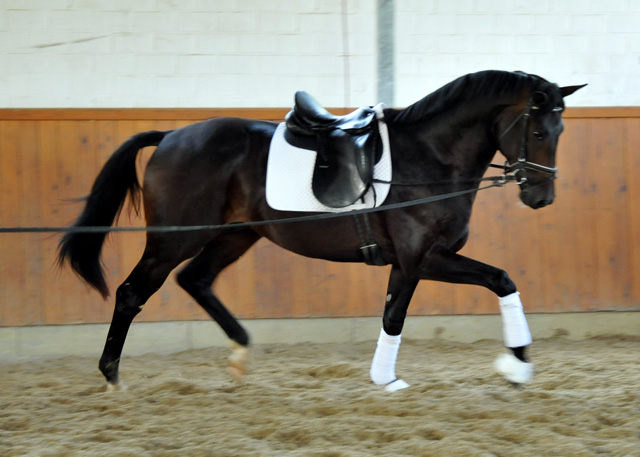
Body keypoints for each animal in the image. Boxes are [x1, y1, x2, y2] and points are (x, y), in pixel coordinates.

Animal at [58, 69, 584, 390]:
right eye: (539, 131)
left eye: (561, 132)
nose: (542, 197)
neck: (429, 157)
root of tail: (170, 135)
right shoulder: (422, 258)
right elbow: (491, 283)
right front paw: (513, 365)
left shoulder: (406, 263)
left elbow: (402, 313)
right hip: (174, 239)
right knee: (132, 292)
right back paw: (113, 377)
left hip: (236, 234)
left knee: (197, 280)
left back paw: (240, 354)